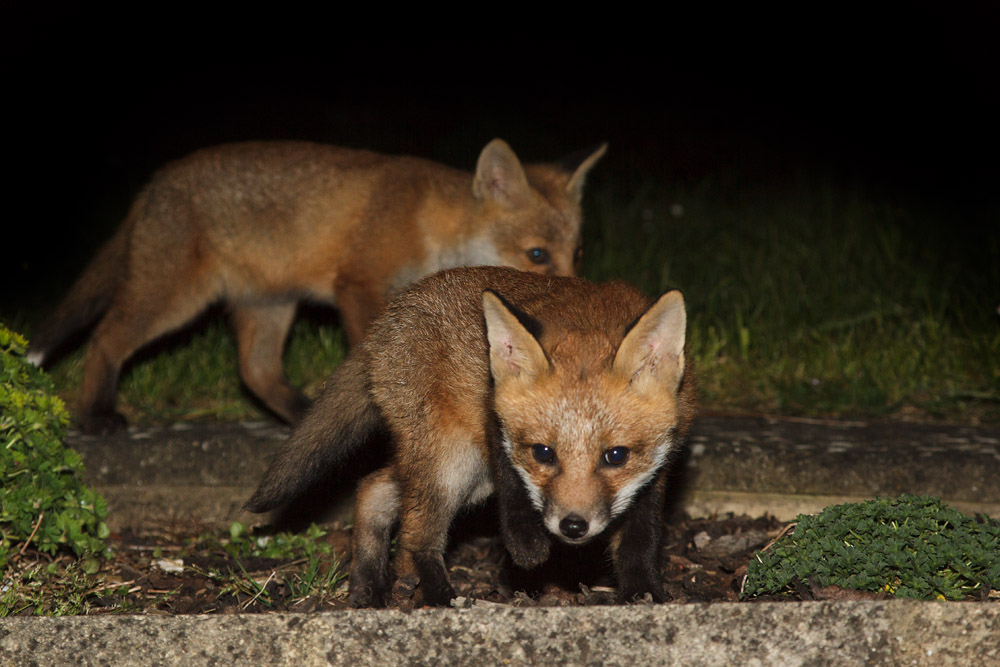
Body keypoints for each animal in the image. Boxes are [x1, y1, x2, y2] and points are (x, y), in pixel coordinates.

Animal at [27, 139, 607, 435]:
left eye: (577, 253)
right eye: (537, 255)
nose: (581, 298)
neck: (429, 221)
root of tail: (153, 185)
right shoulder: (358, 283)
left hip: (270, 306)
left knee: (256, 371)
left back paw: (304, 415)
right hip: (175, 299)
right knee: (105, 338)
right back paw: (96, 415)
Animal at [244, 266, 695, 607]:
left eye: (615, 456)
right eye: (543, 453)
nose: (572, 527)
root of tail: (388, 318)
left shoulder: (656, 468)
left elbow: (641, 536)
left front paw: (643, 593)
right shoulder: (492, 417)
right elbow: (513, 490)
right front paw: (526, 547)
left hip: (459, 473)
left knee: (373, 487)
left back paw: (369, 587)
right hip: (453, 464)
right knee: (414, 533)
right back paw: (440, 596)